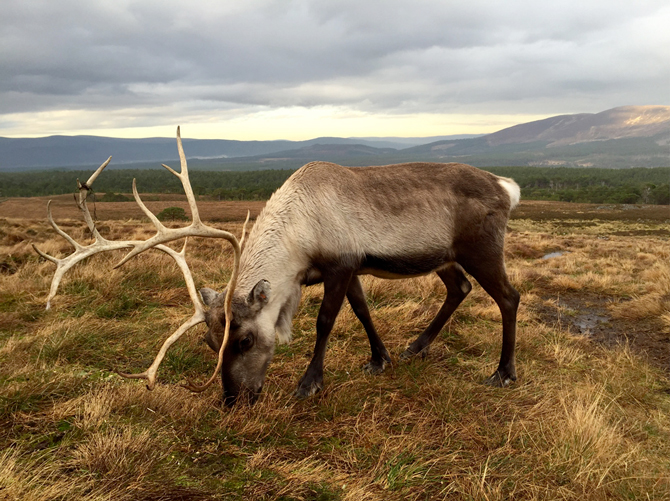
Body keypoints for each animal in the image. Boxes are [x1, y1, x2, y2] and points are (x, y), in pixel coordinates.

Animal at [36, 127, 521, 406]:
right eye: (209, 343)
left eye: (245, 340)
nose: (232, 400)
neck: (300, 231)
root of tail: (506, 185)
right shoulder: (350, 270)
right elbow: (363, 310)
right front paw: (379, 360)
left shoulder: (340, 265)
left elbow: (327, 321)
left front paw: (309, 383)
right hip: (445, 256)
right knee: (459, 288)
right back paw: (416, 346)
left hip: (481, 248)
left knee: (509, 297)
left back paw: (503, 373)